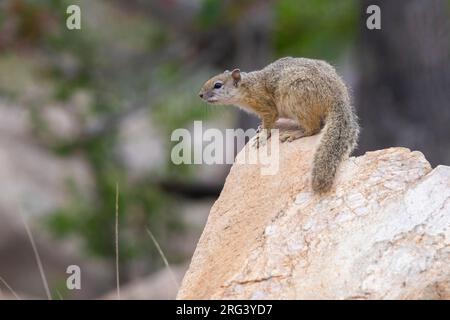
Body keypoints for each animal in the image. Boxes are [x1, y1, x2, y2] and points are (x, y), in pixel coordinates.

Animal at [199, 56, 360, 194]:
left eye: (217, 85)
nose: (200, 95)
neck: (248, 87)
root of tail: (337, 96)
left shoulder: (267, 106)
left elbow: (269, 122)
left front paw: (262, 136)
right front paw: (260, 128)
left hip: (297, 98)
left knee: (314, 127)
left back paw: (295, 134)